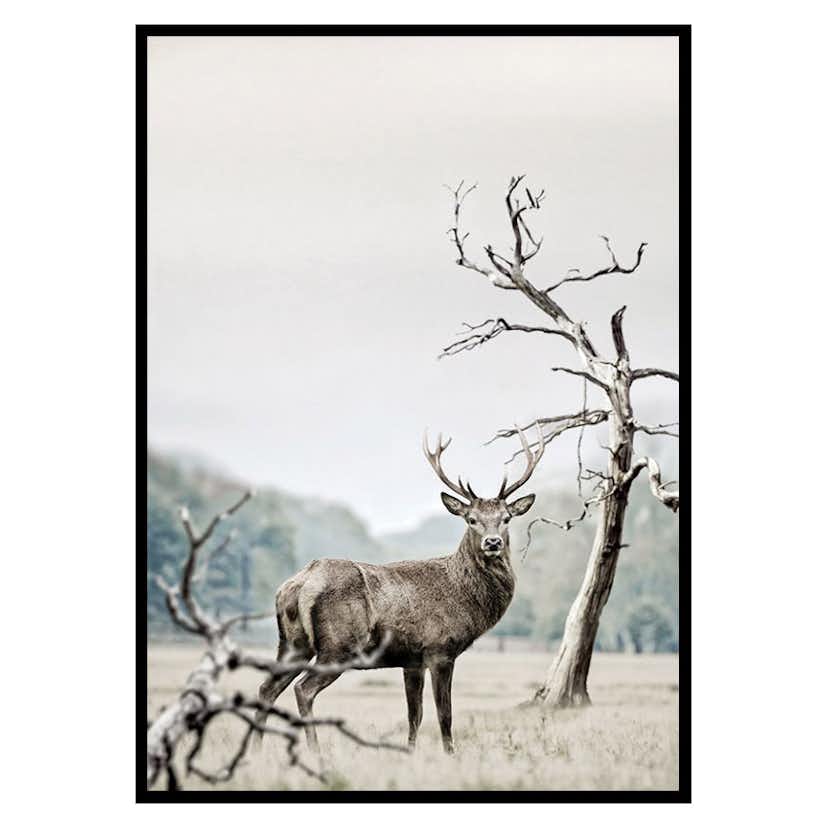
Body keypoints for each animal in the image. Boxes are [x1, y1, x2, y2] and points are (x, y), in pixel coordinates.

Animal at [255, 426, 544, 754]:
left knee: (266, 688)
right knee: (303, 689)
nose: (492, 542)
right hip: (338, 646)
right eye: (471, 520)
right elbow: (445, 714)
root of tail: (298, 584)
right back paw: (315, 751)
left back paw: (256, 749)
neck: (464, 597)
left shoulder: (412, 660)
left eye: (506, 518)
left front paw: (410, 751)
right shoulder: (440, 649)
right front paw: (450, 754)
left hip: (292, 644)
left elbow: (414, 715)